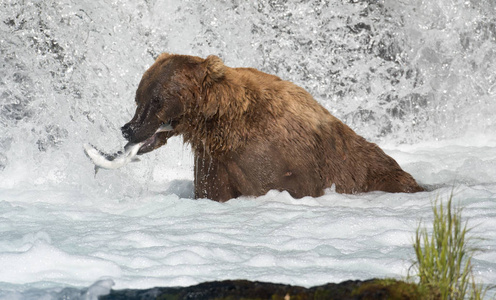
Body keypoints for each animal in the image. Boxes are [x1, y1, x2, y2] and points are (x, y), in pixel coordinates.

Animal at [122, 54, 424, 203]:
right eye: (139, 97)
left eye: (156, 99)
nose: (128, 128)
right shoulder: (214, 161)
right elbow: (212, 193)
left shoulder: (279, 161)